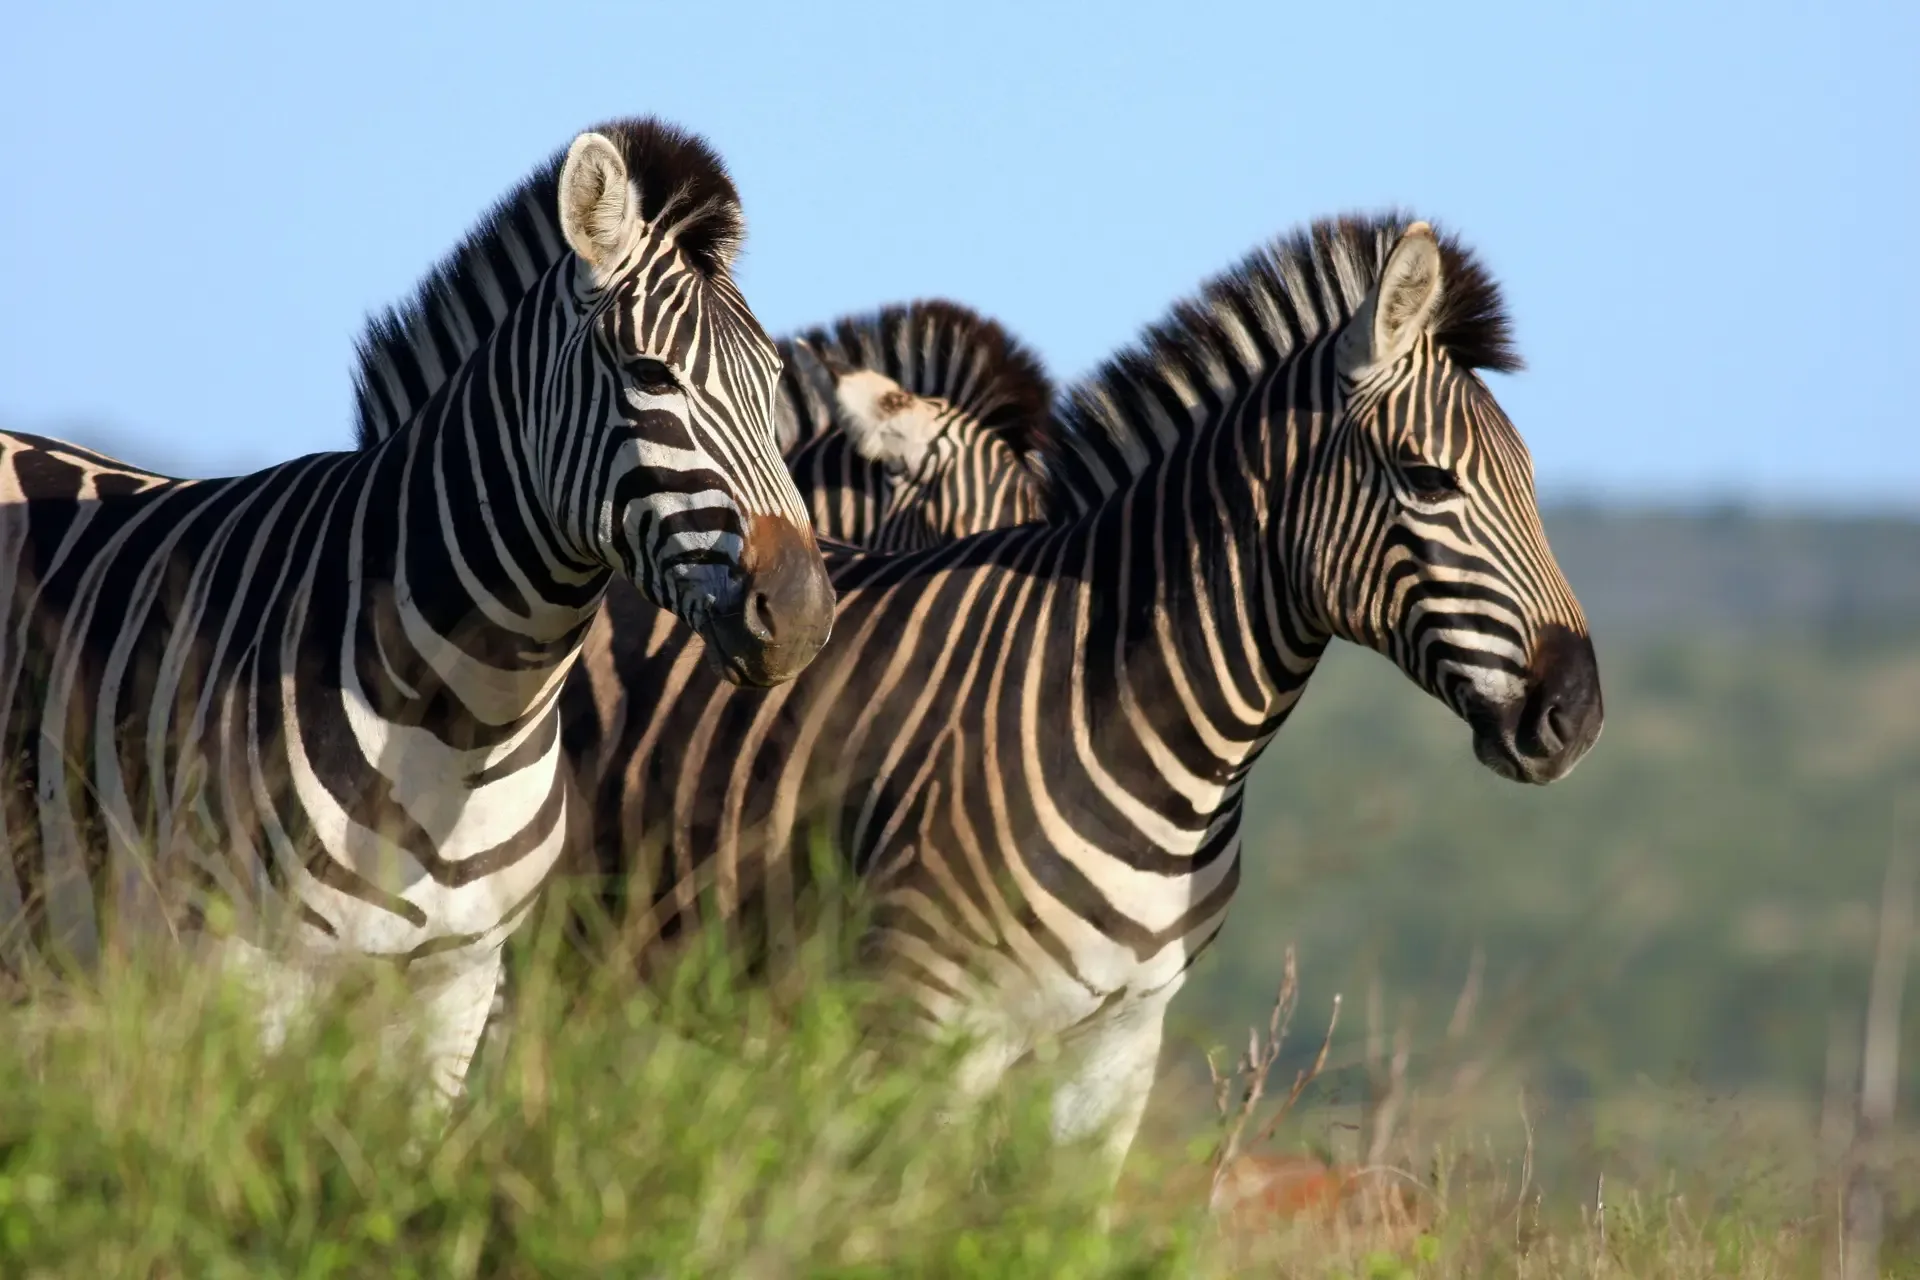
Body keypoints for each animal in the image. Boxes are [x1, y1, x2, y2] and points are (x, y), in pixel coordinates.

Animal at [0, 117, 832, 1103]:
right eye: (649, 373)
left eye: (774, 380)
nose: (803, 613)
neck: (467, 726)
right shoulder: (250, 970)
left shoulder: (455, 988)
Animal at [553, 214, 1604, 1179]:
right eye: (1429, 479)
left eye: (1533, 482)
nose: (1578, 715)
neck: (1136, 721)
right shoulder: (918, 1021)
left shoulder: (1117, 1044)